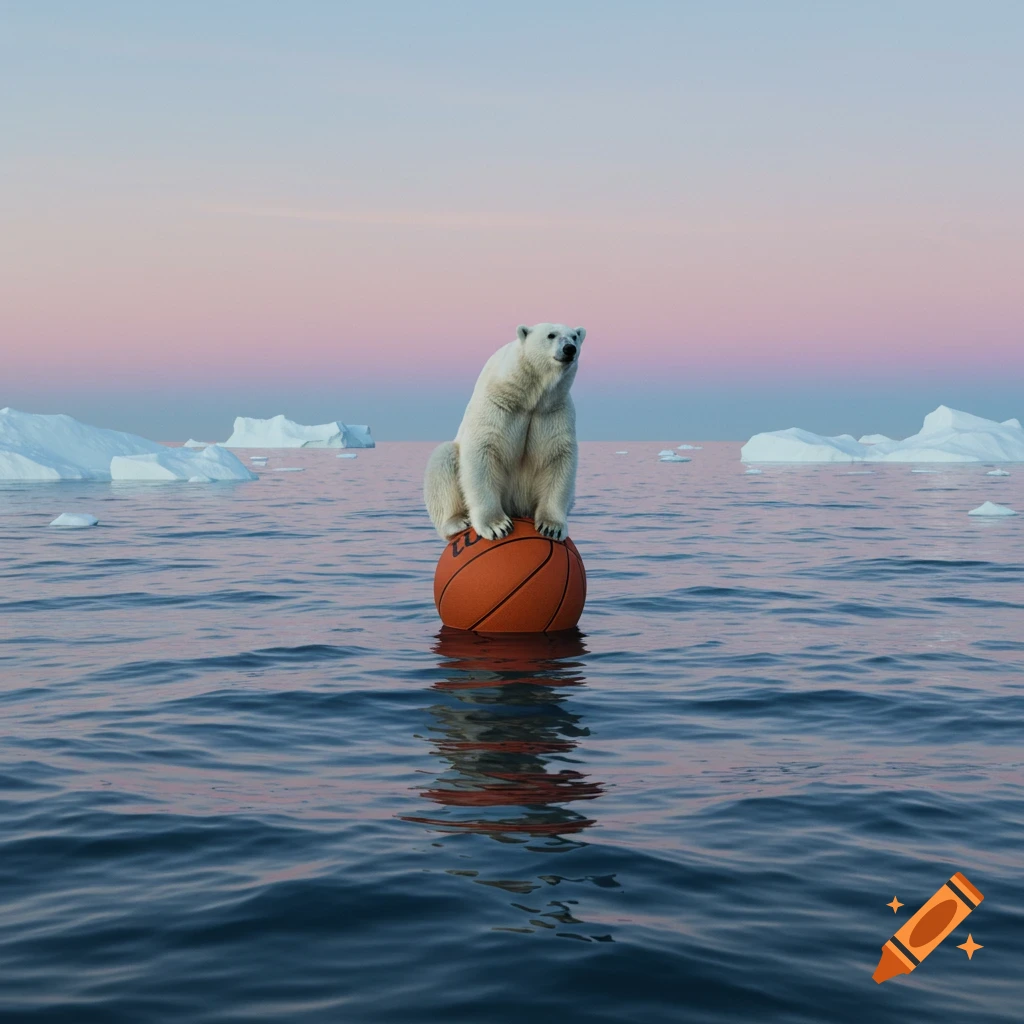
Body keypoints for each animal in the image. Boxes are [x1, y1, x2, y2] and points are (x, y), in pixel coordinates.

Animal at [424, 323, 586, 543]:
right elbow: (482, 450)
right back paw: (458, 521)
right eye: (551, 335)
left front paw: (551, 527)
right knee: (443, 459)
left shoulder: (553, 411)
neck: (531, 394)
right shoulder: (499, 402)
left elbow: (558, 456)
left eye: (574, 337)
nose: (569, 349)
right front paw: (496, 526)